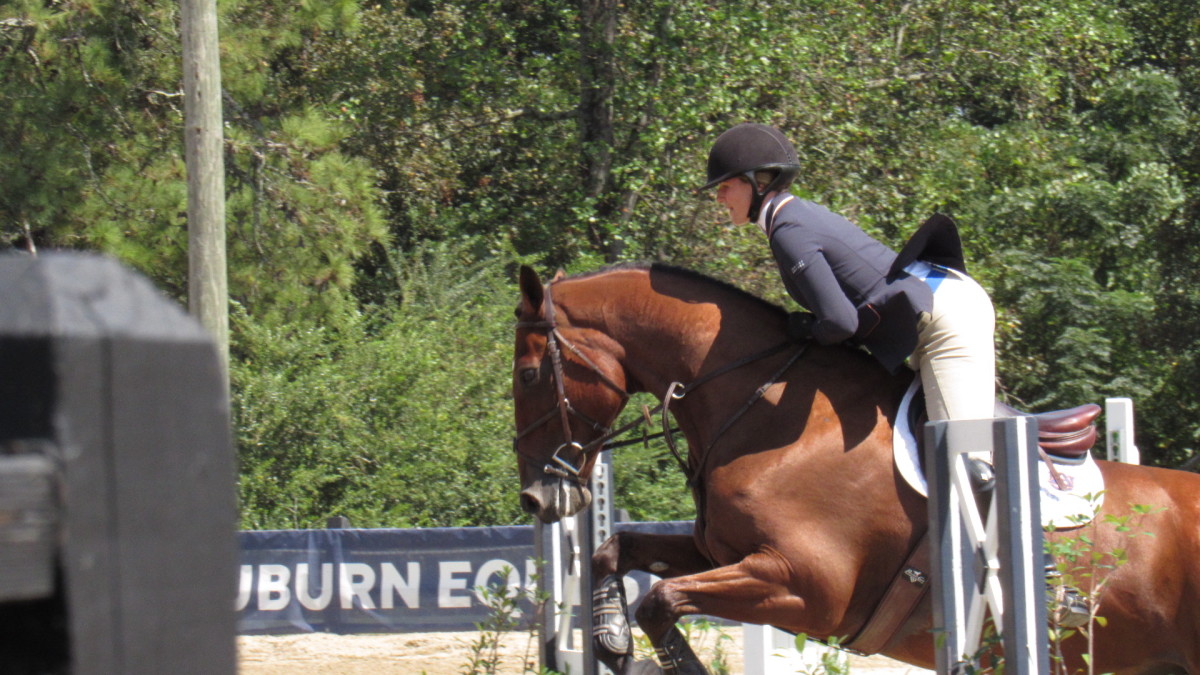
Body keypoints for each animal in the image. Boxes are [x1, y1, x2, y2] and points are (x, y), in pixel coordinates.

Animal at [508, 263, 1200, 672]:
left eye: (531, 374)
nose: (537, 499)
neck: (770, 413)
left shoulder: (805, 585)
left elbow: (661, 601)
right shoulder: (720, 552)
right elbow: (615, 551)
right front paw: (610, 638)